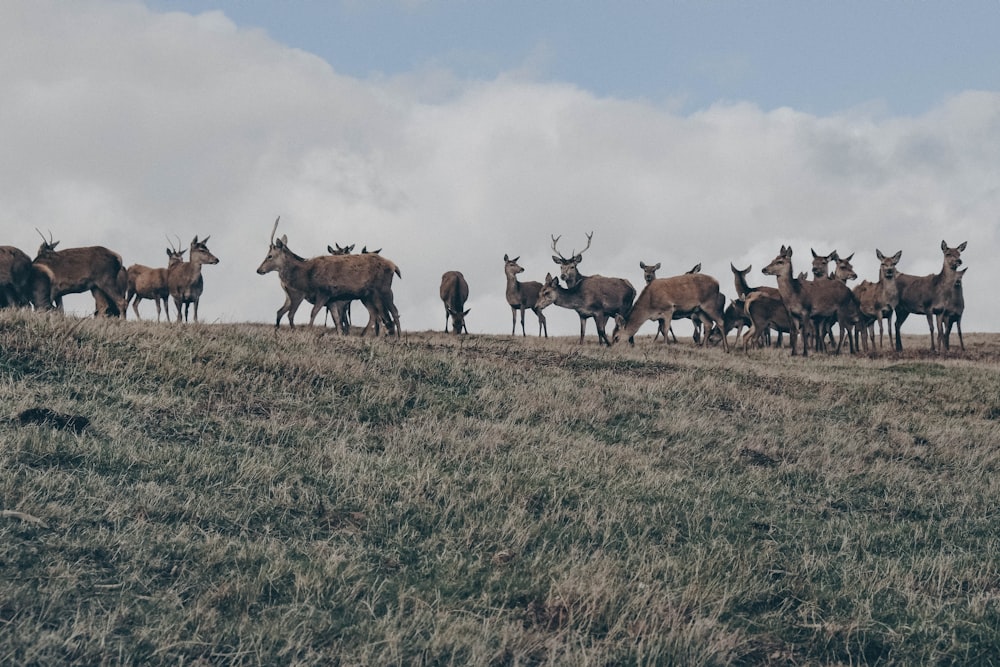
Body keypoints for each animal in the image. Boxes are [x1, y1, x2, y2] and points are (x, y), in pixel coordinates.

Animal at [256, 217, 400, 336]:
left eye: (269, 256)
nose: (258, 270)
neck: (307, 275)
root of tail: (394, 266)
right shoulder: (331, 300)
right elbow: (337, 321)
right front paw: (341, 335)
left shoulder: (324, 293)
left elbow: (313, 313)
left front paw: (308, 332)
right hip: (367, 296)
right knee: (376, 314)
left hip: (384, 289)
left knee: (392, 312)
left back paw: (396, 337)